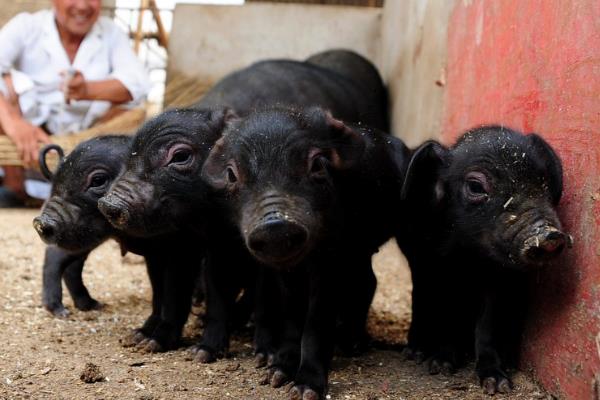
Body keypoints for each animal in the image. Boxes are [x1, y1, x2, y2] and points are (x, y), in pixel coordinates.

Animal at [203, 106, 412, 400]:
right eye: (232, 174)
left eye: (316, 164)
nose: (275, 224)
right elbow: (291, 313)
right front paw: (276, 375)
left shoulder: (331, 257)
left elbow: (315, 322)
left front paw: (304, 390)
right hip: (359, 252)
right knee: (368, 281)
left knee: (367, 283)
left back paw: (352, 345)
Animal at [396, 125, 568, 394]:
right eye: (476, 187)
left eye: (544, 181)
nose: (549, 234)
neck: (468, 257)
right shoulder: (432, 265)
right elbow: (446, 312)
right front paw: (440, 366)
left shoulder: (496, 276)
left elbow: (487, 323)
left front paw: (498, 384)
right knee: (420, 298)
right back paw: (415, 352)